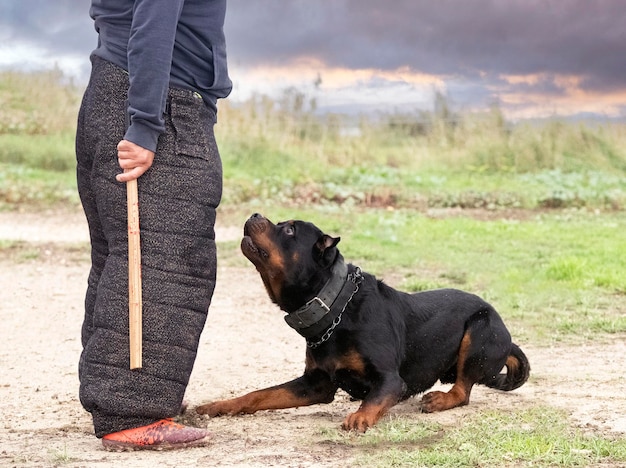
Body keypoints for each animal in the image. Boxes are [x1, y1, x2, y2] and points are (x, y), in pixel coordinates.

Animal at [197, 214, 528, 434]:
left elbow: (374, 398)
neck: (335, 306)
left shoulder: (391, 380)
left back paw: (439, 399)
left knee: (462, 391)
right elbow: (261, 394)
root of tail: (507, 336)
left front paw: (360, 416)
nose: (254, 215)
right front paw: (219, 406)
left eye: (289, 229)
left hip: (481, 329)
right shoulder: (315, 384)